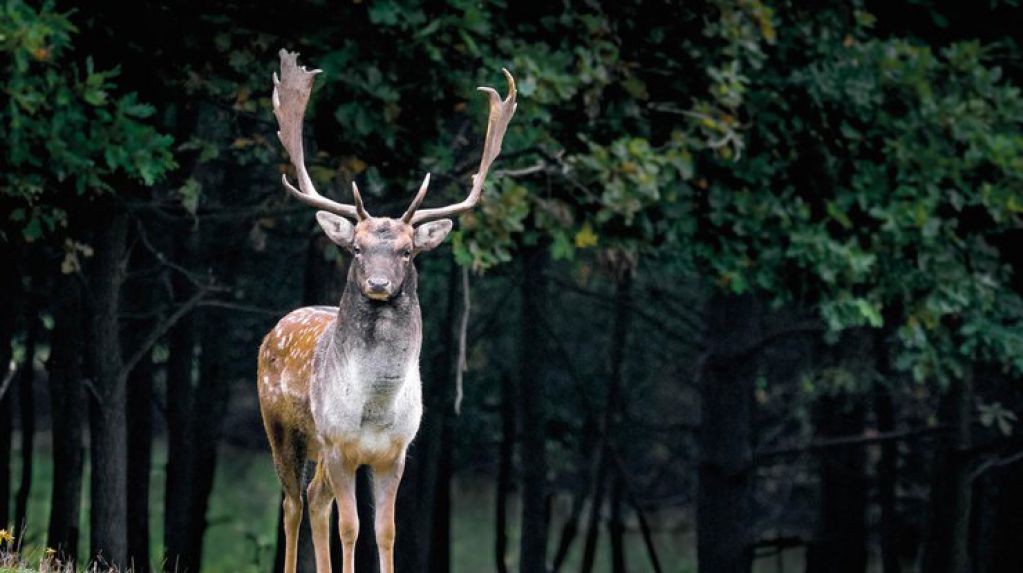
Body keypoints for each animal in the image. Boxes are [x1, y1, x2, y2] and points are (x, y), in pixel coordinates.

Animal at [258, 50, 516, 573]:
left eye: (406, 251)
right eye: (356, 248)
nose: (378, 284)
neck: (374, 408)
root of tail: (274, 330)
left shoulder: (395, 454)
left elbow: (385, 530)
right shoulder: (339, 445)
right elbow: (351, 527)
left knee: (315, 498)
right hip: (282, 426)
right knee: (293, 503)